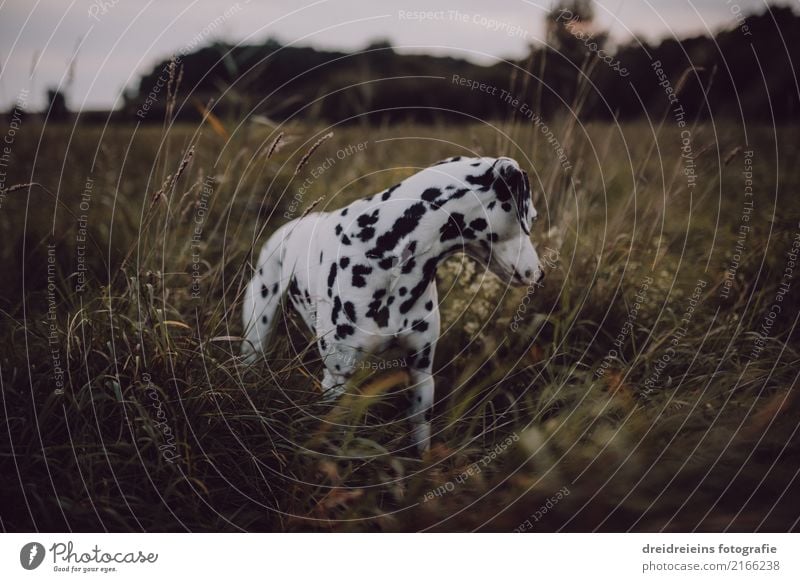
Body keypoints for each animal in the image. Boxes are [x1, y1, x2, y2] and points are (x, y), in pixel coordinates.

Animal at [242, 157, 544, 454]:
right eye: (532, 217)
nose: (541, 273)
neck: (392, 257)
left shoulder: (421, 373)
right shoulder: (338, 379)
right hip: (257, 329)